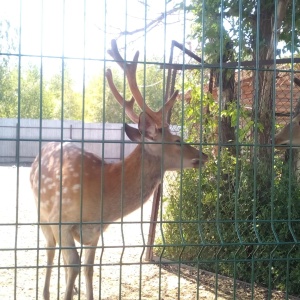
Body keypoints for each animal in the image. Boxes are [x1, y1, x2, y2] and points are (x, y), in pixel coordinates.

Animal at [30, 39, 209, 300]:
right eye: (177, 141)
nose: (203, 155)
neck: (102, 202)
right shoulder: (61, 220)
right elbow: (73, 264)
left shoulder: (95, 232)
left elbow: (88, 268)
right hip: (41, 213)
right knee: (51, 250)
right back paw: (44, 292)